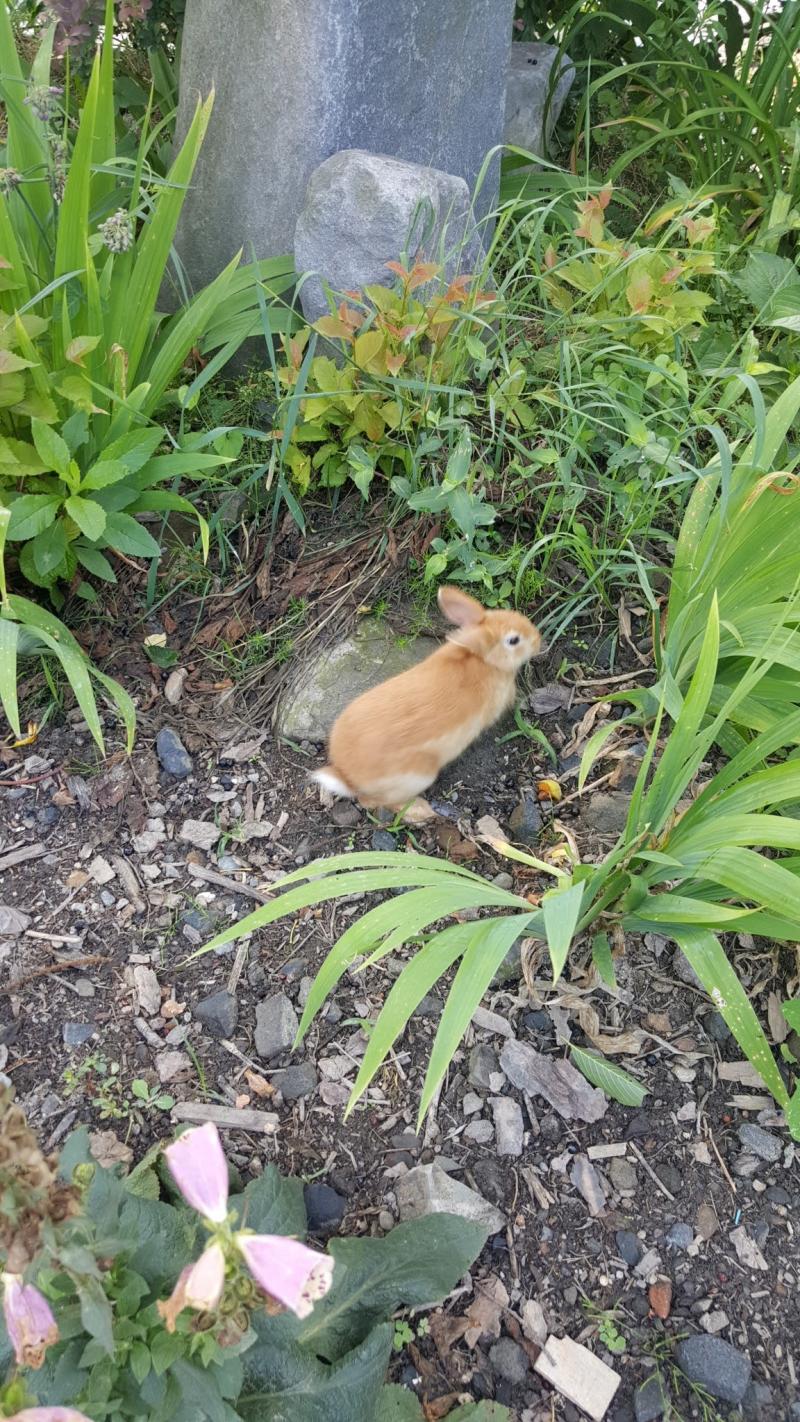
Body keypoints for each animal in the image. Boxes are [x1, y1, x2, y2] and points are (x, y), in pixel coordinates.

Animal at [311, 585, 543, 819]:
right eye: (514, 640)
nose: (538, 639)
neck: (483, 658)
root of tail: (346, 776)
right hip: (419, 776)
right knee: (372, 802)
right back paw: (421, 810)